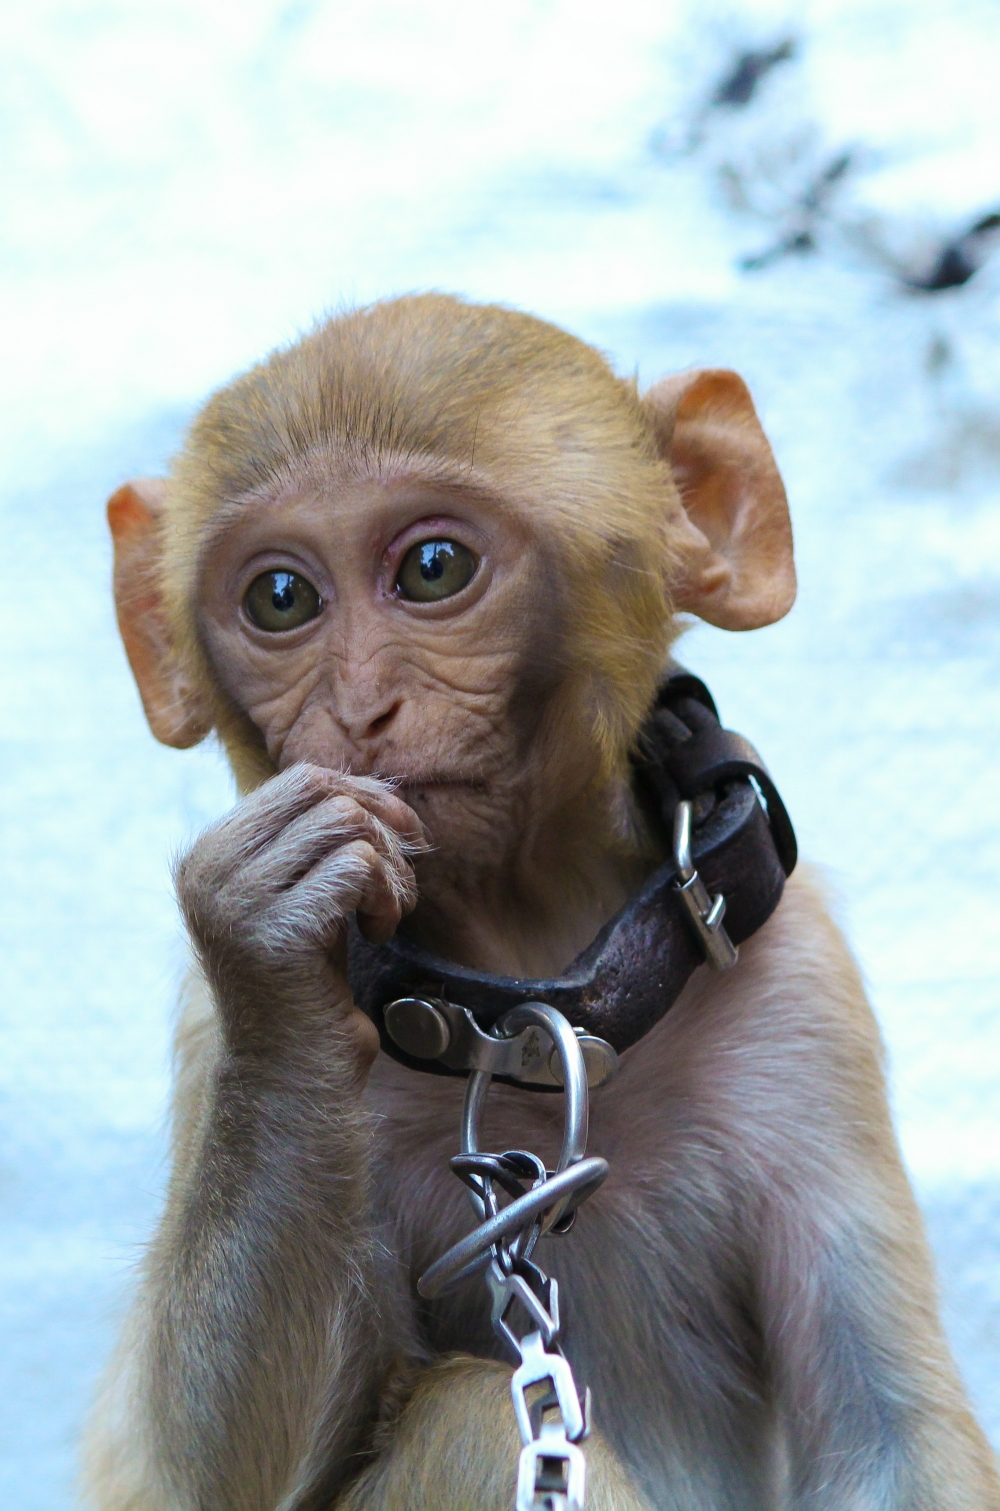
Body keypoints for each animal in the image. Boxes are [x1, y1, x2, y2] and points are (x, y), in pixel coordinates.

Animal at [82, 294, 1000, 1511]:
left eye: (433, 568)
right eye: (280, 598)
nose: (359, 710)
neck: (528, 991)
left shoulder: (799, 984)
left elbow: (887, 1438)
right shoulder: (206, 1026)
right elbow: (194, 1479)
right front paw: (268, 949)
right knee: (475, 1411)